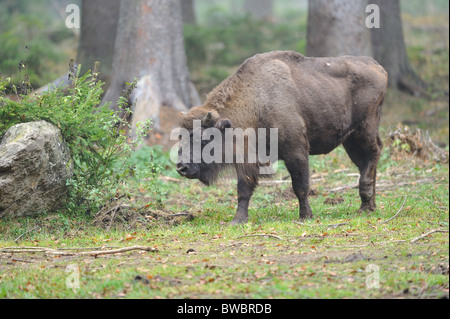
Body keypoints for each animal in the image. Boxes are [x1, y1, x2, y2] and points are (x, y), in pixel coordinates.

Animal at [176, 50, 386, 225]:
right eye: (181, 136)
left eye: (203, 137)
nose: (181, 167)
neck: (256, 101)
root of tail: (378, 66)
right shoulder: (247, 160)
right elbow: (243, 190)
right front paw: (238, 220)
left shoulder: (296, 152)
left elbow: (300, 186)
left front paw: (305, 216)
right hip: (350, 140)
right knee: (365, 164)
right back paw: (369, 206)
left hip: (364, 130)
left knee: (372, 156)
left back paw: (365, 206)